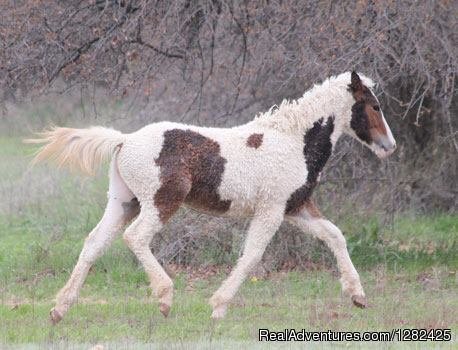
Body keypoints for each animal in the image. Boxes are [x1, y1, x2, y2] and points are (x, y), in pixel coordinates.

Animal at [26, 72, 396, 326]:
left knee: (93, 243)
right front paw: (218, 307)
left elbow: (335, 235)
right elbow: (251, 256)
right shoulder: (271, 211)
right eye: (374, 106)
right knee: (135, 238)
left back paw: (59, 309)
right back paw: (164, 298)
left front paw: (358, 295)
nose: (388, 146)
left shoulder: (296, 208)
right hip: (160, 203)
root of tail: (124, 139)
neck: (292, 142)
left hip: (123, 203)